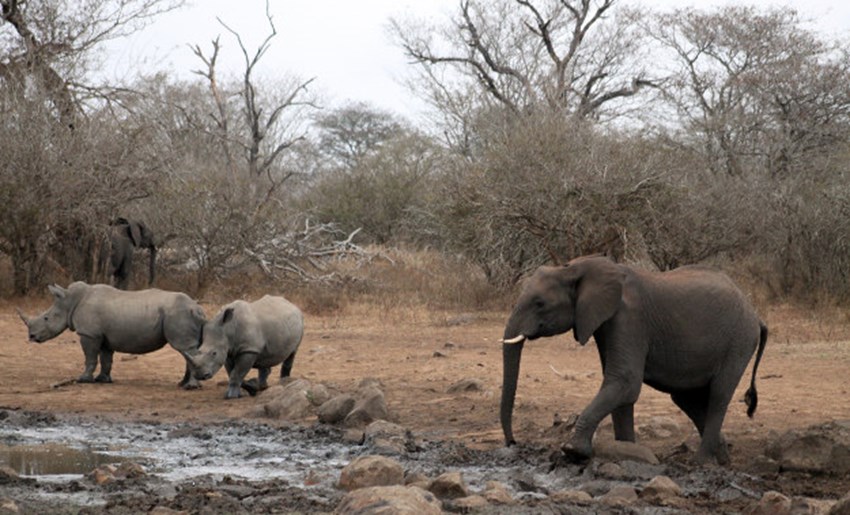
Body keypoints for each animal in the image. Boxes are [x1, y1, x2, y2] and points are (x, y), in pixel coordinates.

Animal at [500, 255, 764, 468]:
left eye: (539, 303)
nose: (512, 442)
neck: (574, 267)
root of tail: (755, 314)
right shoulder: (606, 322)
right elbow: (620, 387)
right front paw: (627, 451)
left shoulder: (629, 318)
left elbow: (625, 381)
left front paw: (573, 451)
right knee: (686, 399)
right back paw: (723, 459)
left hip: (739, 342)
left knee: (719, 394)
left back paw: (700, 463)